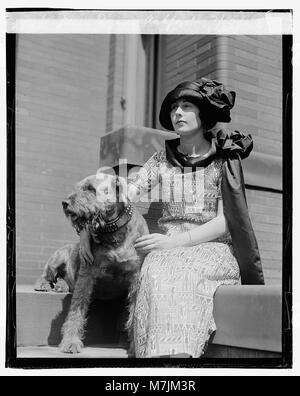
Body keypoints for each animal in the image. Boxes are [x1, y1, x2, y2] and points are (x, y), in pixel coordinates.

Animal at [34, 172, 149, 354]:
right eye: (77, 187)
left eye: (90, 188)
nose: (64, 203)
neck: (113, 231)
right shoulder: (87, 274)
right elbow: (77, 309)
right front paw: (70, 342)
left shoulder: (135, 277)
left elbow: (134, 311)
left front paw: (135, 346)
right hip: (58, 257)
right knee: (45, 275)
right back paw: (45, 285)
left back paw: (61, 286)